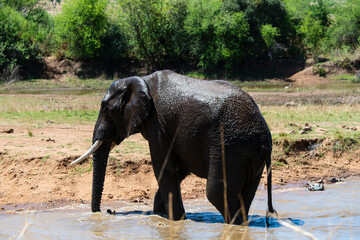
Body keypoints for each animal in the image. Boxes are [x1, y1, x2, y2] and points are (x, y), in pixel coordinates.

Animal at [71, 70, 278, 225]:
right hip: (249, 155)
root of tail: (263, 139)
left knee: (216, 193)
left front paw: (175, 220)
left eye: (106, 108)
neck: (141, 80)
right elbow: (179, 168)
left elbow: (163, 167)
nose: (108, 211)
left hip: (229, 147)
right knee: (245, 194)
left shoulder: (158, 124)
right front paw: (160, 213)